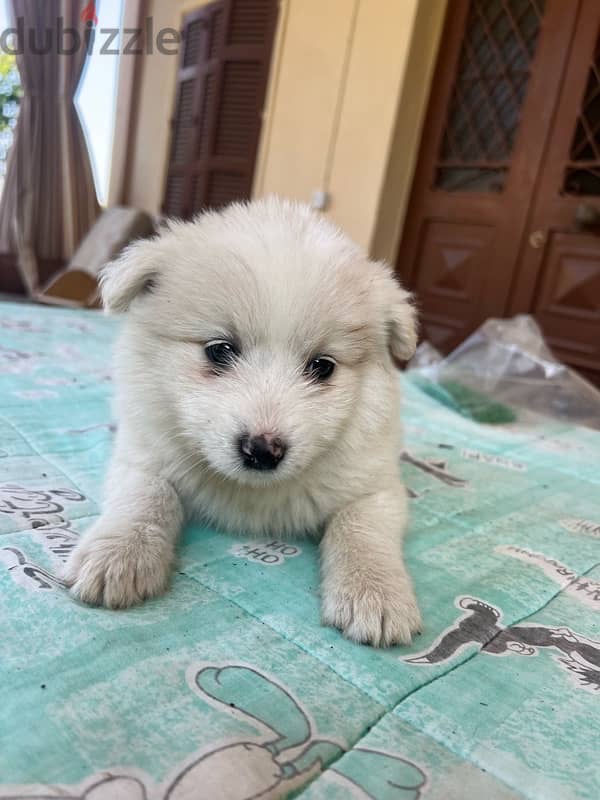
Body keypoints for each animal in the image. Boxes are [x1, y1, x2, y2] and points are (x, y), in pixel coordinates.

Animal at [64, 197, 422, 648]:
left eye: (323, 366)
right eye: (219, 350)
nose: (263, 450)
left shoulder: (376, 487)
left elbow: (360, 528)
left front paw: (375, 593)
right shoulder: (141, 457)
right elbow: (146, 498)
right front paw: (118, 555)